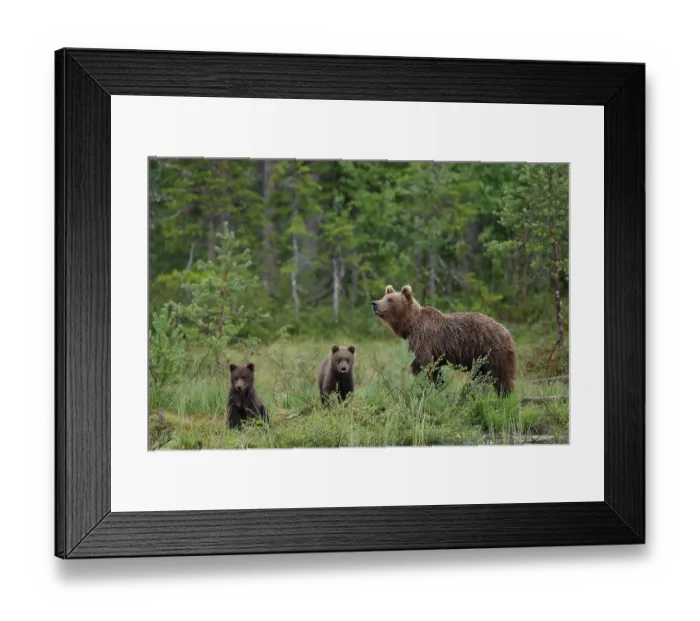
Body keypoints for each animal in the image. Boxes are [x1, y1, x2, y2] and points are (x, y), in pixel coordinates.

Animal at [371, 285, 517, 396]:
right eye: (383, 297)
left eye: (390, 299)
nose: (374, 303)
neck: (410, 325)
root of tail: (507, 332)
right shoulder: (433, 352)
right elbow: (435, 371)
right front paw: (438, 387)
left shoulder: (424, 340)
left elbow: (423, 365)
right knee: (480, 378)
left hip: (492, 352)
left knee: (501, 378)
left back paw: (505, 397)